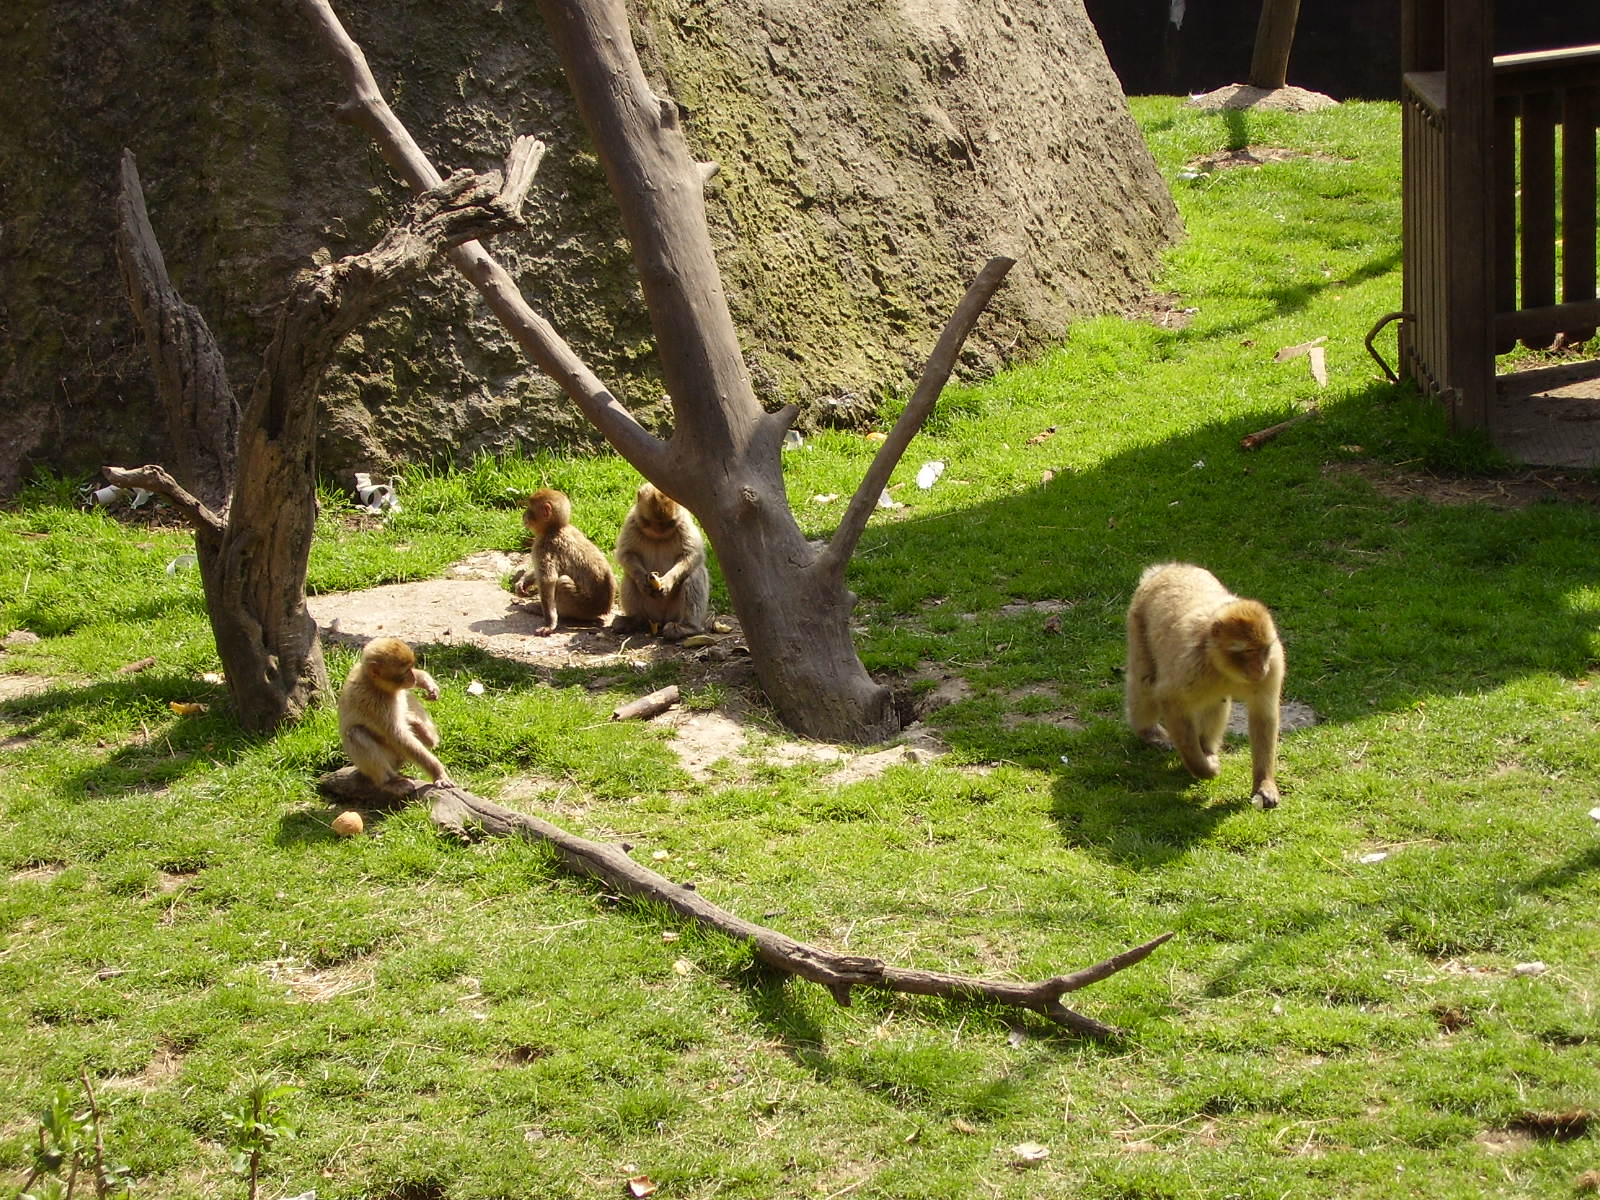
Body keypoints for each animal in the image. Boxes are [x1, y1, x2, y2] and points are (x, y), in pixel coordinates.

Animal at [338, 636, 454, 791]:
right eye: (405, 671)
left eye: (411, 667)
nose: (412, 677)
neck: (374, 684)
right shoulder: (375, 702)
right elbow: (398, 736)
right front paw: (438, 772)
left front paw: (427, 683)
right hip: (391, 759)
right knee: (356, 732)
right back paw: (389, 781)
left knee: (407, 697)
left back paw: (428, 737)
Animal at [515, 488, 616, 636]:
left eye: (529, 508)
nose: (523, 515)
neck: (555, 529)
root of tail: (604, 608)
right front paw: (524, 582)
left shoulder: (543, 546)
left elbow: (548, 580)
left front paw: (550, 623)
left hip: (583, 606)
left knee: (562, 582)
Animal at [612, 482, 710, 641]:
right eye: (649, 521)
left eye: (669, 523)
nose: (658, 532)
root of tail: (660, 620)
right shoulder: (632, 521)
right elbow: (626, 553)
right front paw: (642, 579)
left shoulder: (684, 523)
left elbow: (692, 554)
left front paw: (668, 581)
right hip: (649, 612)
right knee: (629, 577)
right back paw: (634, 620)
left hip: (674, 613)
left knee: (695, 573)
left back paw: (687, 627)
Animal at [1124, 562, 1285, 808]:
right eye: (1248, 651)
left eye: (1264, 649)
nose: (1260, 669)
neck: (1220, 663)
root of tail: (1170, 567)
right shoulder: (1191, 665)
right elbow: (1171, 699)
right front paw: (1200, 767)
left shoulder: (1273, 665)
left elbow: (1263, 716)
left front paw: (1264, 783)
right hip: (1138, 622)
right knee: (1145, 682)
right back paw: (1148, 732)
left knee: (1215, 700)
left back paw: (1207, 746)